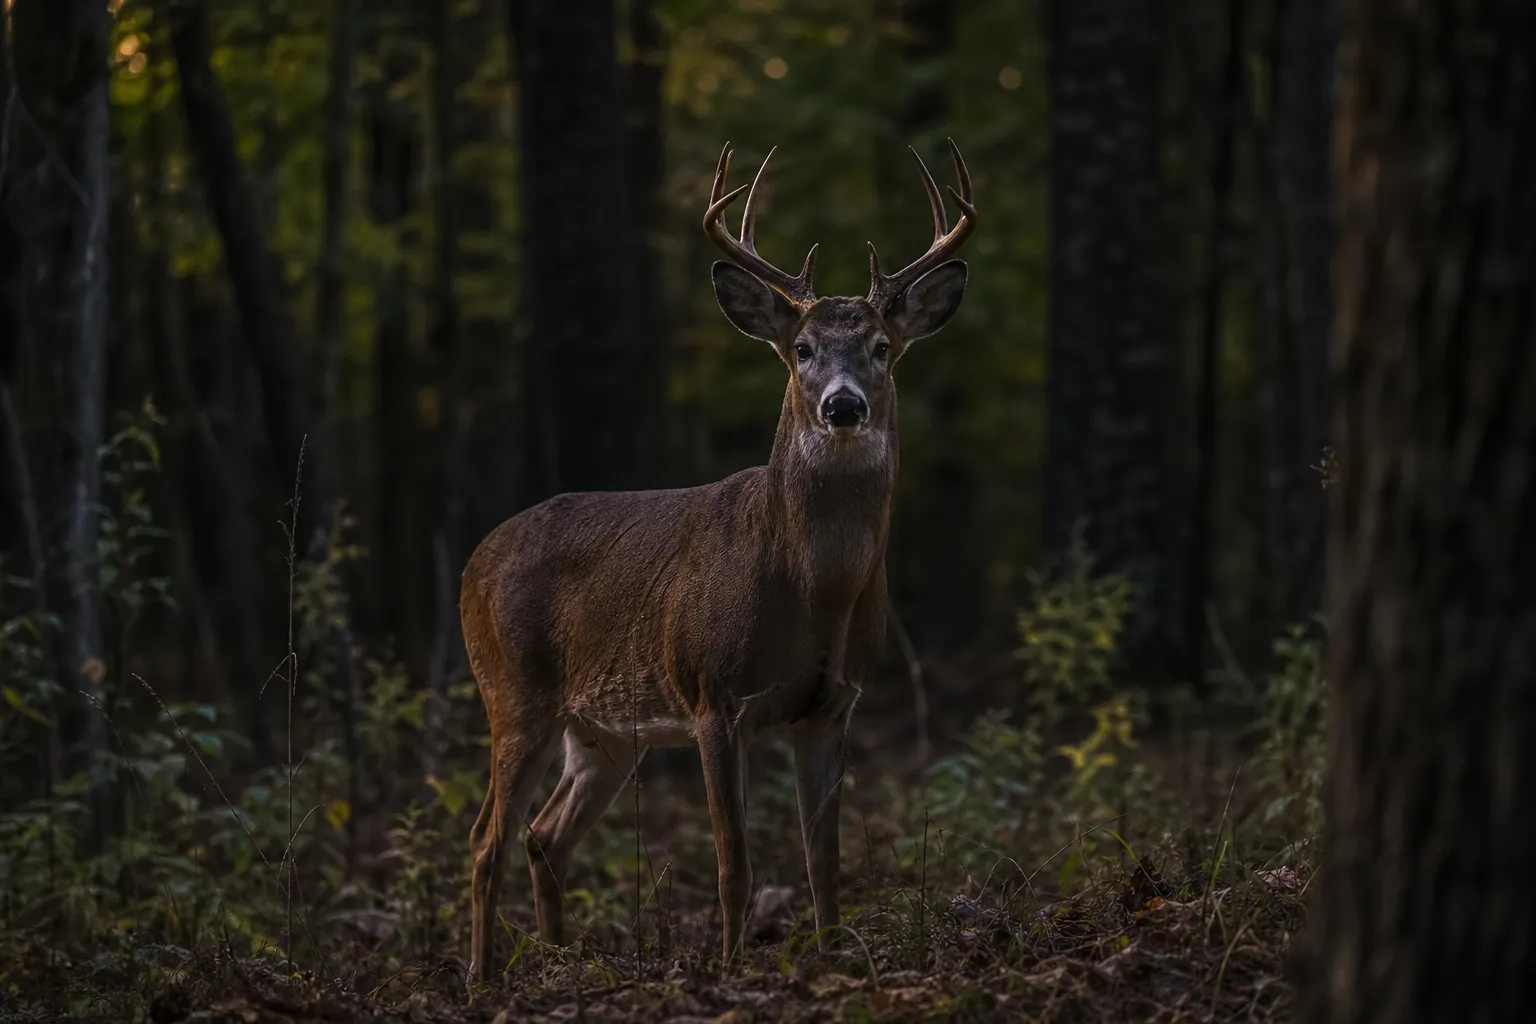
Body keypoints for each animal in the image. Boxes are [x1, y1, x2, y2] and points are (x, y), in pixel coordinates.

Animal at [461, 139, 976, 983]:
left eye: (881, 348)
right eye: (801, 349)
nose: (842, 405)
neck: (815, 591)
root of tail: (475, 560)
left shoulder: (834, 706)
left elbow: (824, 863)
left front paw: (832, 960)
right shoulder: (713, 695)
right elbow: (734, 859)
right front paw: (734, 966)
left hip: (603, 733)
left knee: (543, 836)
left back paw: (559, 962)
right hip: (513, 694)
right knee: (485, 841)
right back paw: (482, 978)